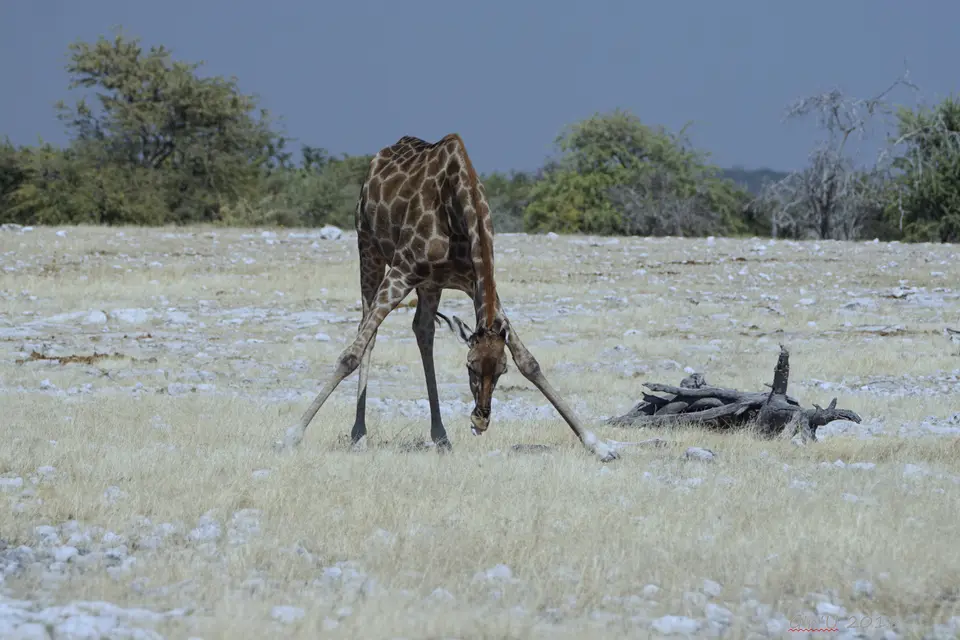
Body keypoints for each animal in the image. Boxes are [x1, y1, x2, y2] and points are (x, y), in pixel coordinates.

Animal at [276, 133, 617, 463]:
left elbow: (529, 362)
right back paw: (359, 435)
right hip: (369, 248)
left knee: (423, 330)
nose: (480, 421)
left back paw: (440, 437)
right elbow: (350, 354)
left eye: (501, 370)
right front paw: (291, 436)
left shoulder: (474, 282)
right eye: (469, 367)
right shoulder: (401, 271)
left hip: (430, 283)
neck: (459, 207)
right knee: (367, 332)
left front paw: (599, 446)